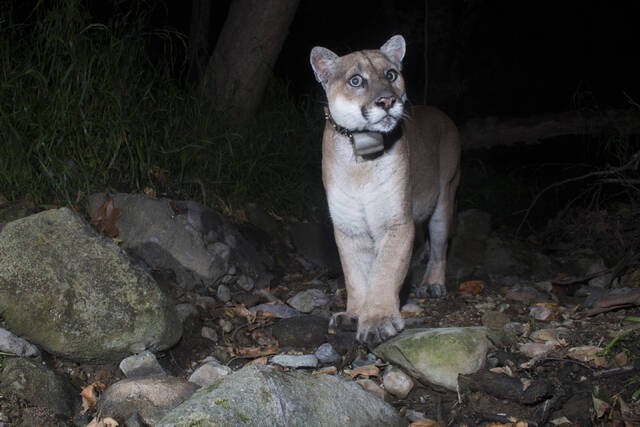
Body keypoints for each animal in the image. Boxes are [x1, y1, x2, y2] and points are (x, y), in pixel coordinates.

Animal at [310, 35, 460, 346]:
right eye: (356, 80)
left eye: (391, 74)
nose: (388, 100)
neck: (360, 159)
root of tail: (441, 113)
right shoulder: (349, 226)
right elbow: (356, 275)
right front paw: (354, 314)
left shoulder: (396, 222)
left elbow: (384, 270)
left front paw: (378, 320)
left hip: (445, 199)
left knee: (440, 247)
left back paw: (433, 284)